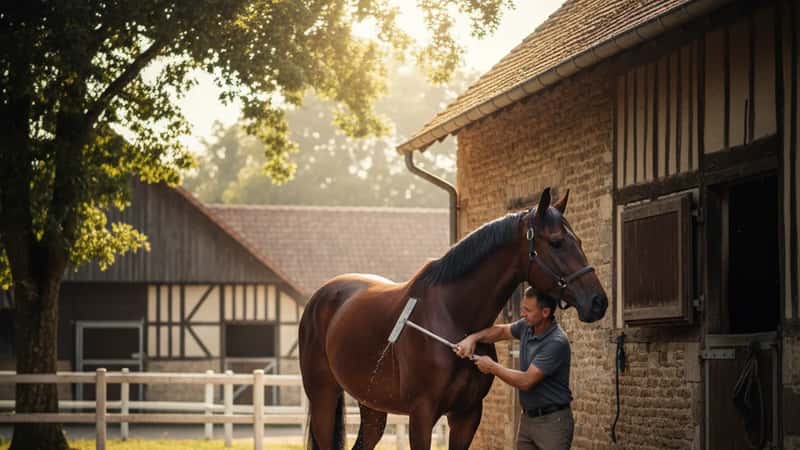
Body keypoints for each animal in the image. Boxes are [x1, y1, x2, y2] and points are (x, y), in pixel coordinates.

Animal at [299, 187, 608, 450]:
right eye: (556, 243)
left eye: (579, 241)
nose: (598, 302)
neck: (454, 317)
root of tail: (321, 297)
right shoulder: (422, 415)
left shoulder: (466, 415)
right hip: (323, 396)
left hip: (371, 404)